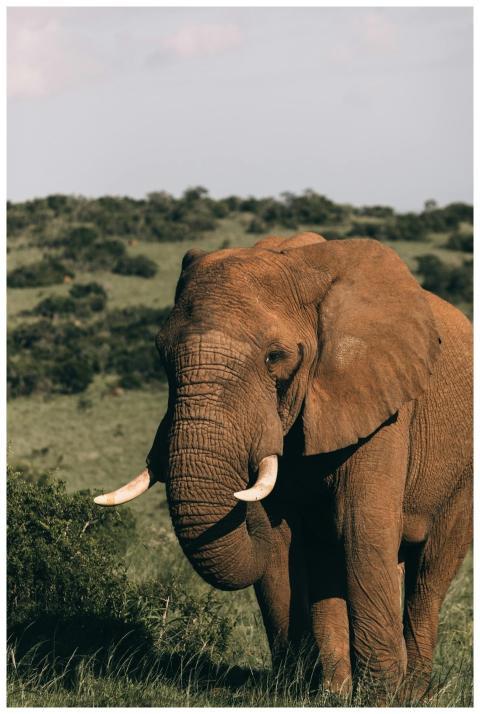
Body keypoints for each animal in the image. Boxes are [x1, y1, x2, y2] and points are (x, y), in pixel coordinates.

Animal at [95, 232, 472, 696]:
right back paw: (335, 692)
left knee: (427, 576)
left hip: (461, 473)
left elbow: (360, 526)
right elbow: (278, 542)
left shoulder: (383, 403)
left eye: (274, 357)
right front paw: (294, 692)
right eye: (162, 355)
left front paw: (379, 698)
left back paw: (411, 692)